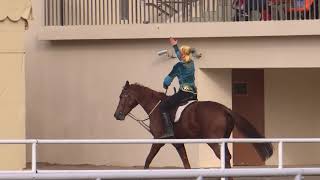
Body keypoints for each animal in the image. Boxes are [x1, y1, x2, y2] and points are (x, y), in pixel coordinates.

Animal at [112, 81, 272, 171]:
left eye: (122, 96)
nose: (117, 115)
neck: (156, 107)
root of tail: (224, 108)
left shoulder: (158, 140)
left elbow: (147, 160)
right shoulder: (178, 143)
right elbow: (186, 164)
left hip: (213, 141)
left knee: (225, 158)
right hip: (223, 139)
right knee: (227, 158)